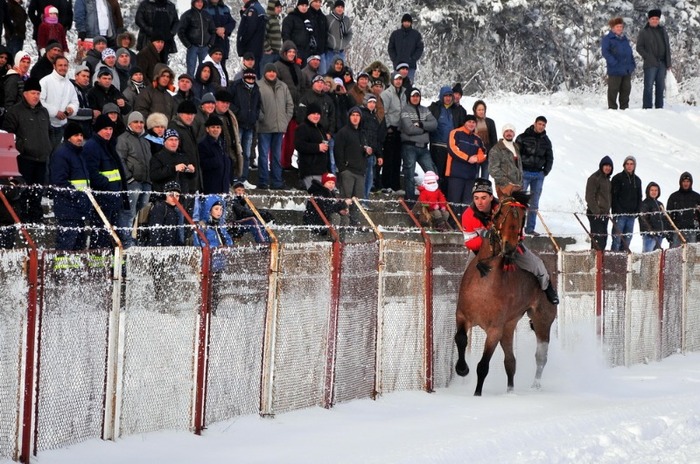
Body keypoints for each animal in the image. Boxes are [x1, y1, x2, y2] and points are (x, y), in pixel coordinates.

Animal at [454, 191, 556, 396]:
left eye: (522, 217)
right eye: (501, 214)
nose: (509, 247)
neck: (485, 282)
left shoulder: (495, 329)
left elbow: (483, 366)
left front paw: (477, 394)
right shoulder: (462, 315)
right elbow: (460, 339)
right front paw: (461, 369)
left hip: (541, 320)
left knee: (541, 356)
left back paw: (535, 386)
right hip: (509, 326)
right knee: (511, 361)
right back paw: (510, 391)